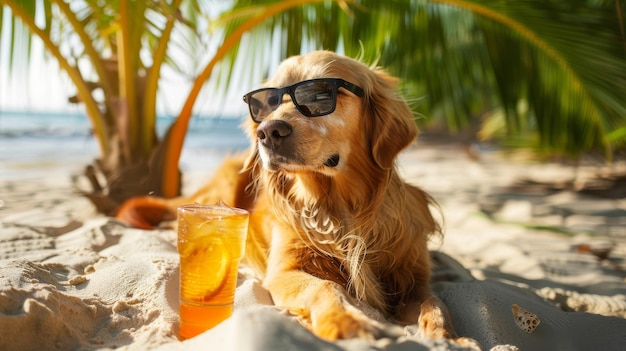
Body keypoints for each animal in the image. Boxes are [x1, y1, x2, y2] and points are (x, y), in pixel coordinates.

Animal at [116, 51, 472, 348]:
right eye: (267, 102)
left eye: (319, 95)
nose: (268, 131)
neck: (338, 208)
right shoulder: (284, 270)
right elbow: (326, 287)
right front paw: (346, 322)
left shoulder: (413, 281)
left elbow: (436, 302)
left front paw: (450, 337)